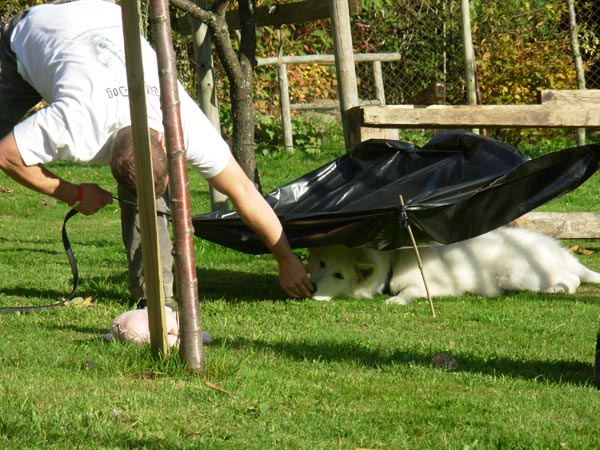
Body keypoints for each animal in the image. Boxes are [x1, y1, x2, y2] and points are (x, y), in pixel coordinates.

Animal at [307, 227, 600, 305]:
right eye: (321, 263)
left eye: (339, 275)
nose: (311, 289)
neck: (393, 262)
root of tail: (563, 254)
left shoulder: (436, 287)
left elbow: (411, 291)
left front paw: (397, 300)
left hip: (515, 274)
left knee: (572, 279)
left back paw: (557, 289)